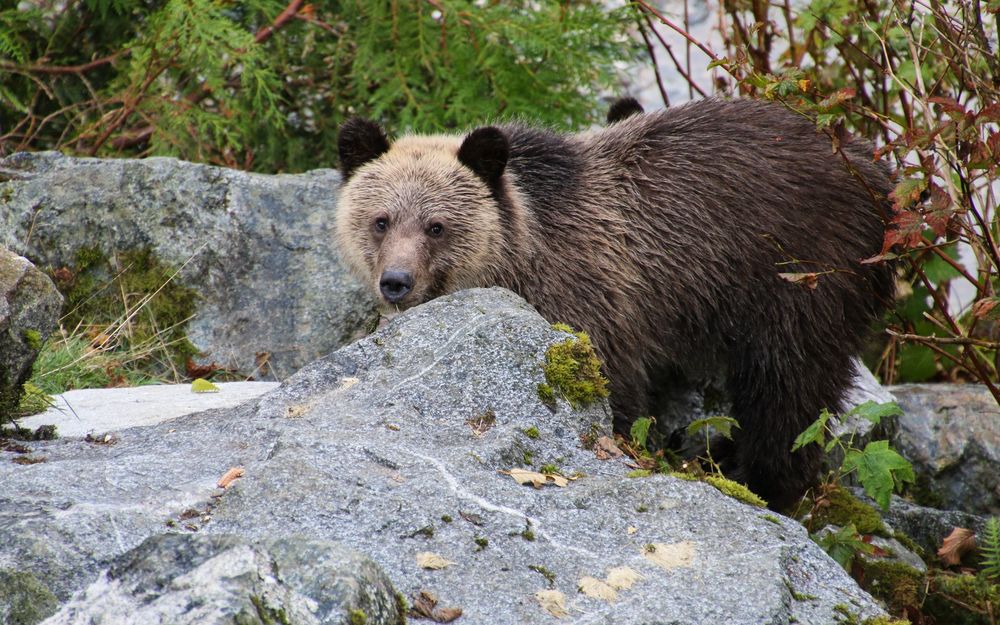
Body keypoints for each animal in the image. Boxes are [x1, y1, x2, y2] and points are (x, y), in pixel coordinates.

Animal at [334, 98, 895, 509]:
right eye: (381, 219)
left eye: (436, 226)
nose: (397, 282)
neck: (522, 258)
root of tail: (875, 171)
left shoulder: (592, 301)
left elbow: (615, 392)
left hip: (801, 274)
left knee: (789, 387)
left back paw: (763, 481)